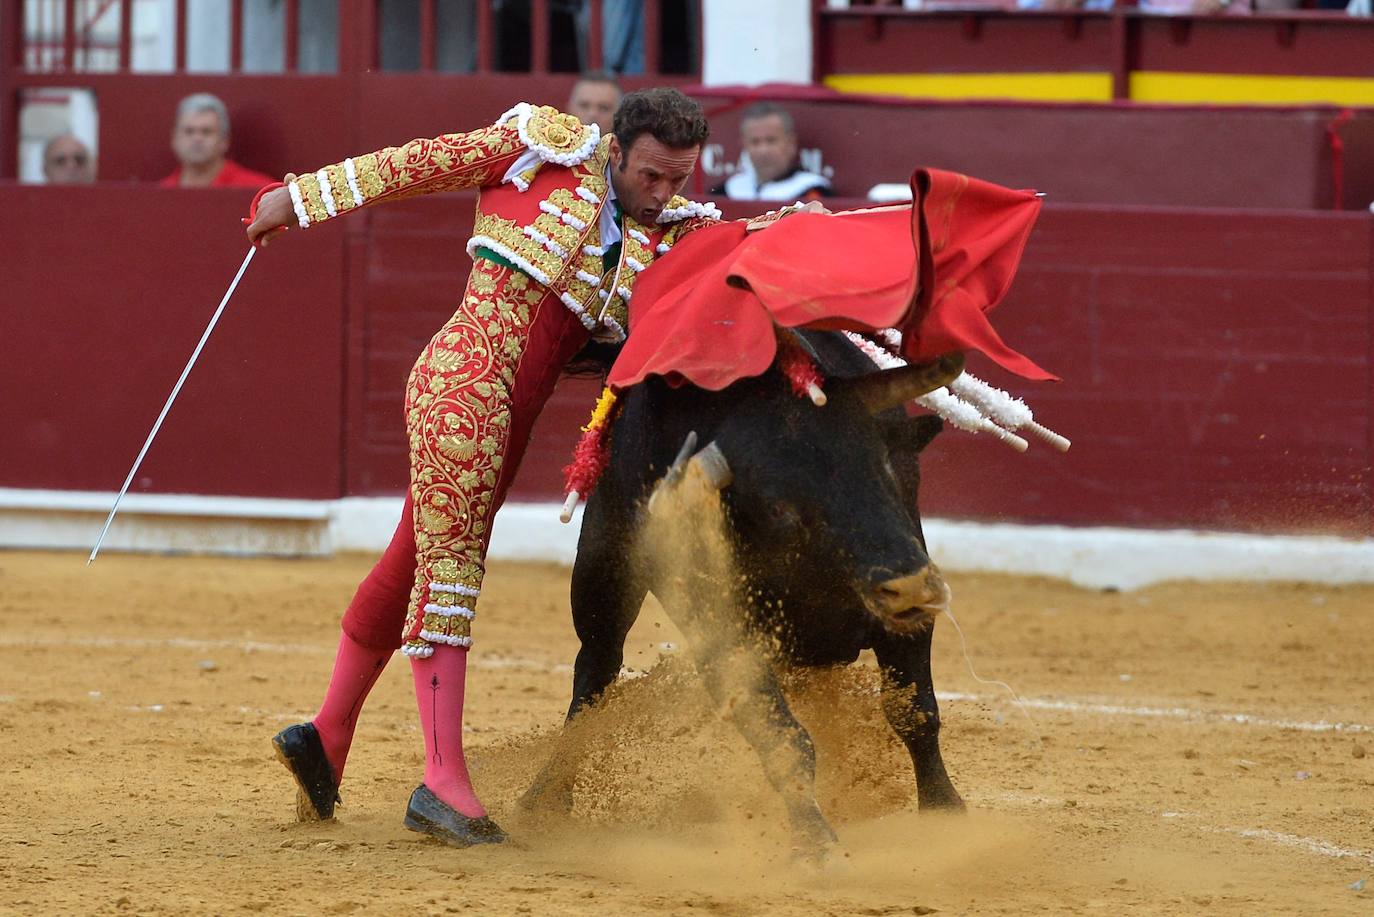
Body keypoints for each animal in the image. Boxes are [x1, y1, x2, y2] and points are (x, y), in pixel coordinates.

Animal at [522, 334, 967, 857]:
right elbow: (784, 739)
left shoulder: (907, 619)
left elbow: (914, 713)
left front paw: (945, 813)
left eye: (888, 471)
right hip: (602, 573)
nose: (910, 584)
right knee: (595, 673)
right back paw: (545, 799)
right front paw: (814, 843)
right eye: (779, 507)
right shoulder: (727, 643)